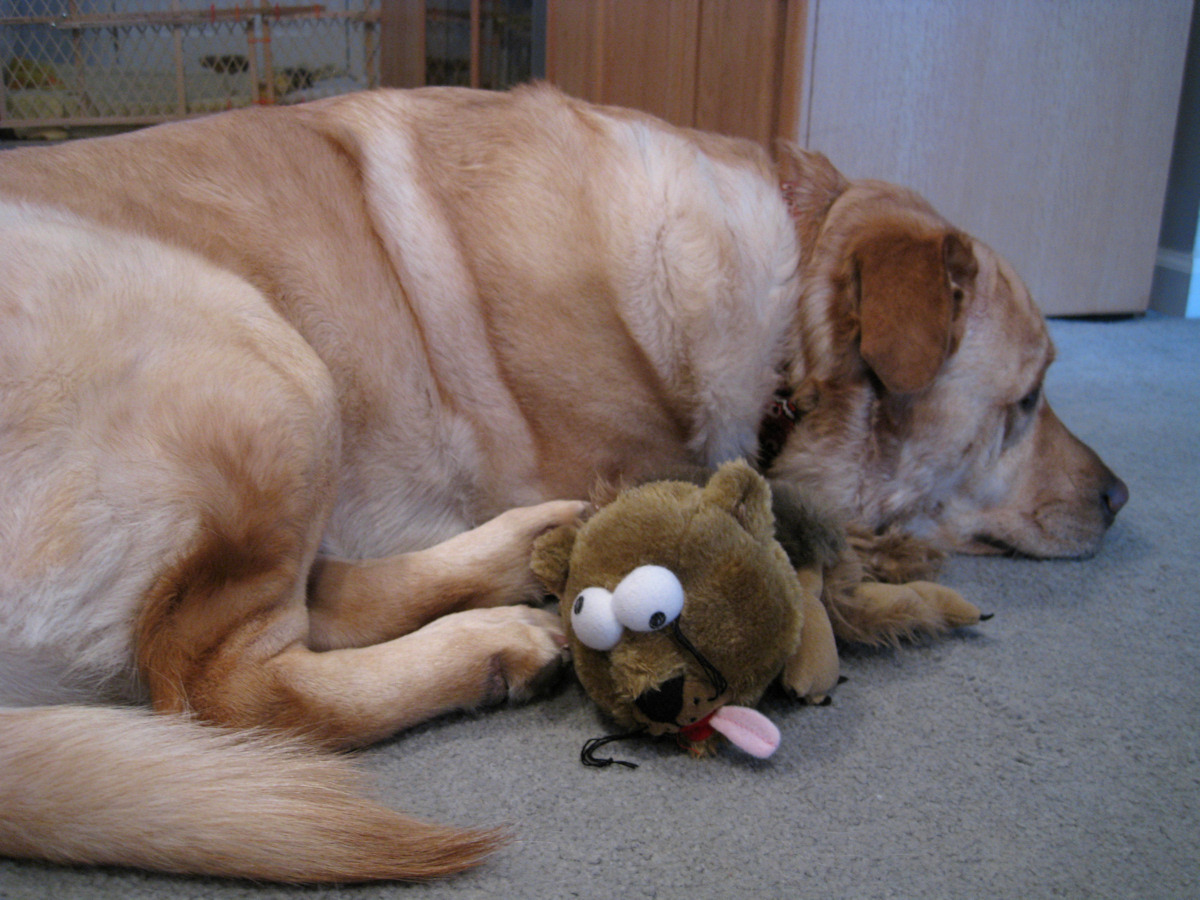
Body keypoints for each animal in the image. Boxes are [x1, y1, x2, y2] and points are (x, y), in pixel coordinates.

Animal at [0, 82, 1123, 883]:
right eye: (1028, 399)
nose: (1121, 498)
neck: (779, 309)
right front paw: (894, 592)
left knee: (322, 600)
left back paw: (505, 571)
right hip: (251, 351)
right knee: (227, 684)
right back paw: (486, 648)